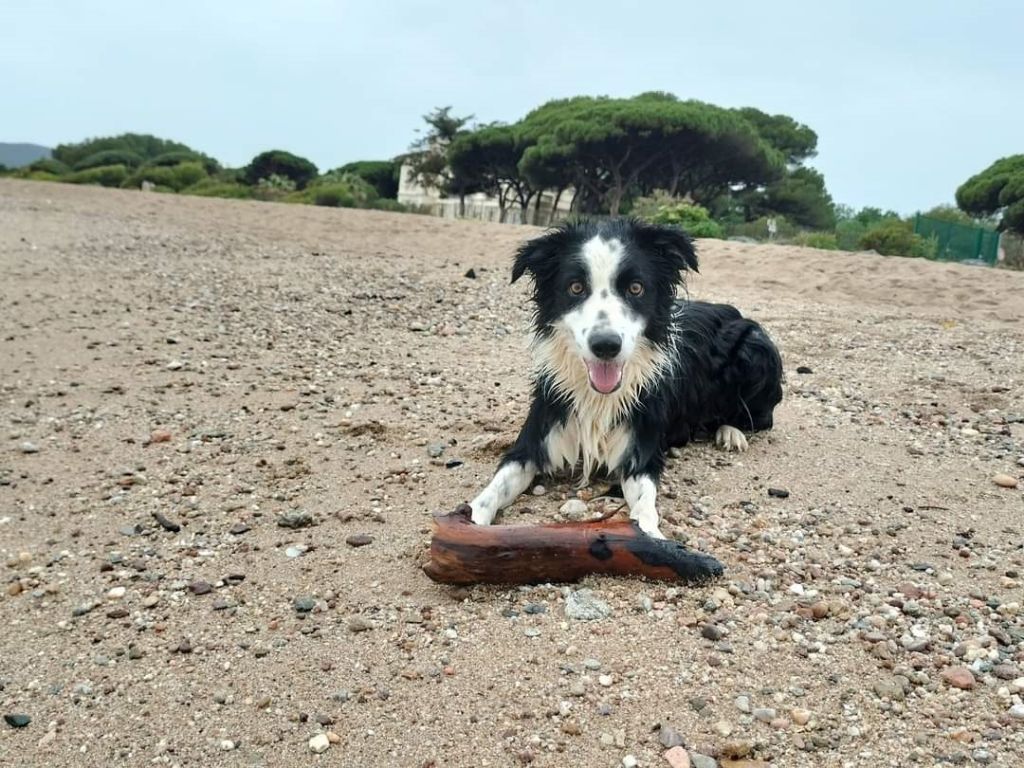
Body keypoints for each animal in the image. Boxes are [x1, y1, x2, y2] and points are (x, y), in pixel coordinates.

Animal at [468, 218, 778, 540]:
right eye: (575, 287)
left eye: (636, 288)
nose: (606, 345)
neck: (598, 397)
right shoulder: (535, 438)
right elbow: (493, 489)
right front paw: (469, 521)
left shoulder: (641, 453)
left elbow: (644, 506)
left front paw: (652, 538)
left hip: (756, 348)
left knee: (760, 418)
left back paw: (730, 432)